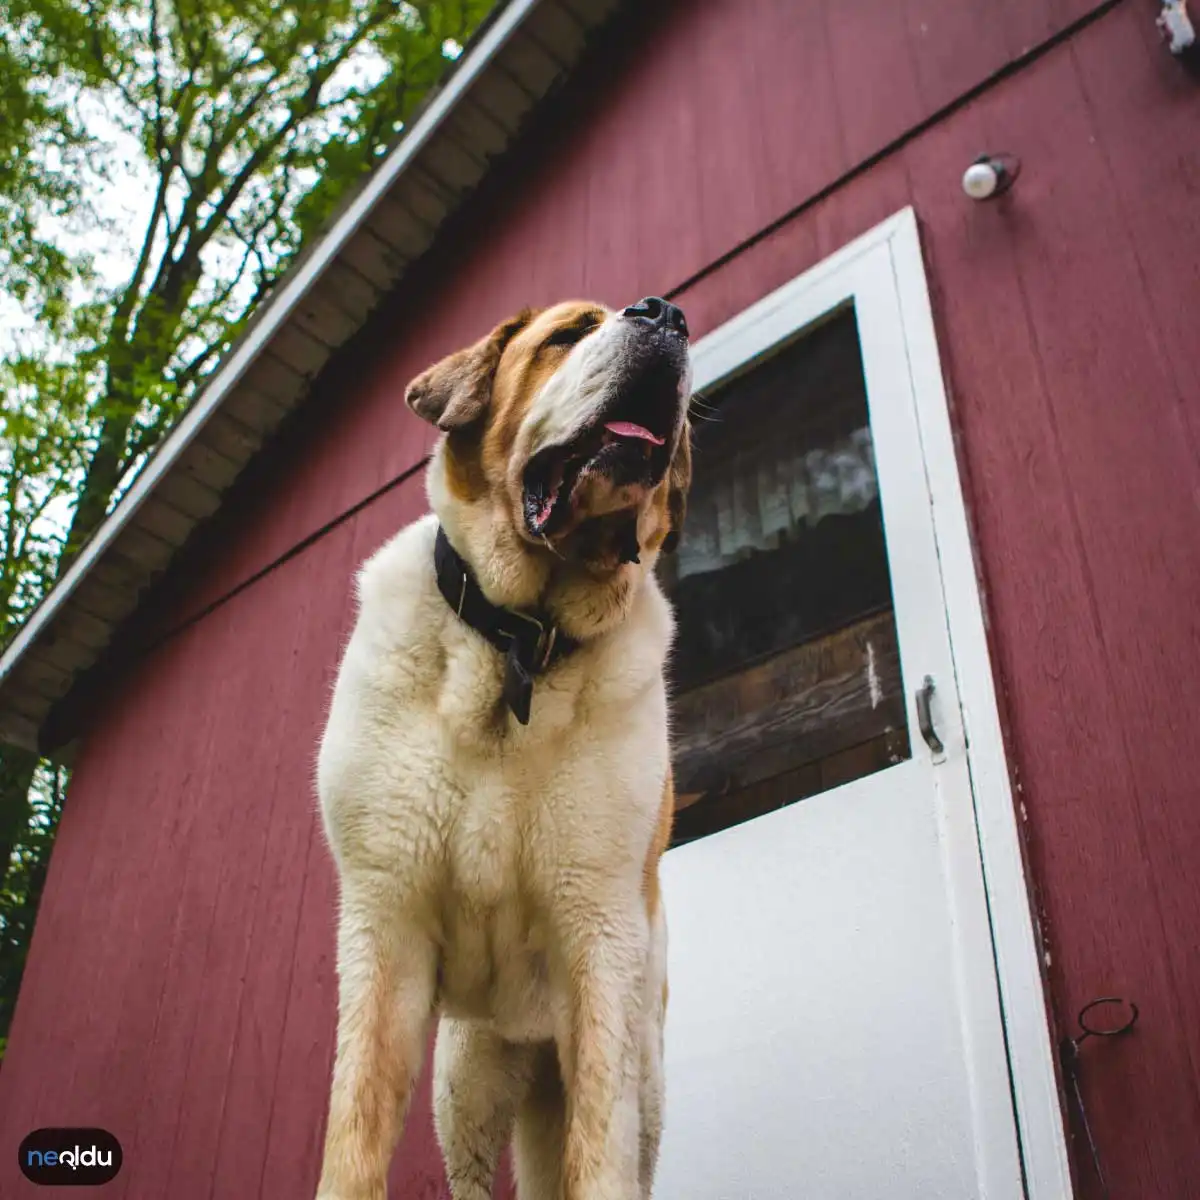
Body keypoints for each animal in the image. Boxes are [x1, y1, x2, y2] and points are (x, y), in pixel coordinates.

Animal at [314, 297, 696, 1200]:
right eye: (569, 333)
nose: (665, 312)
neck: (522, 637)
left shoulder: (601, 946)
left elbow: (600, 1154)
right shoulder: (385, 926)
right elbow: (355, 1138)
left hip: (645, 1071)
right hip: (466, 1085)